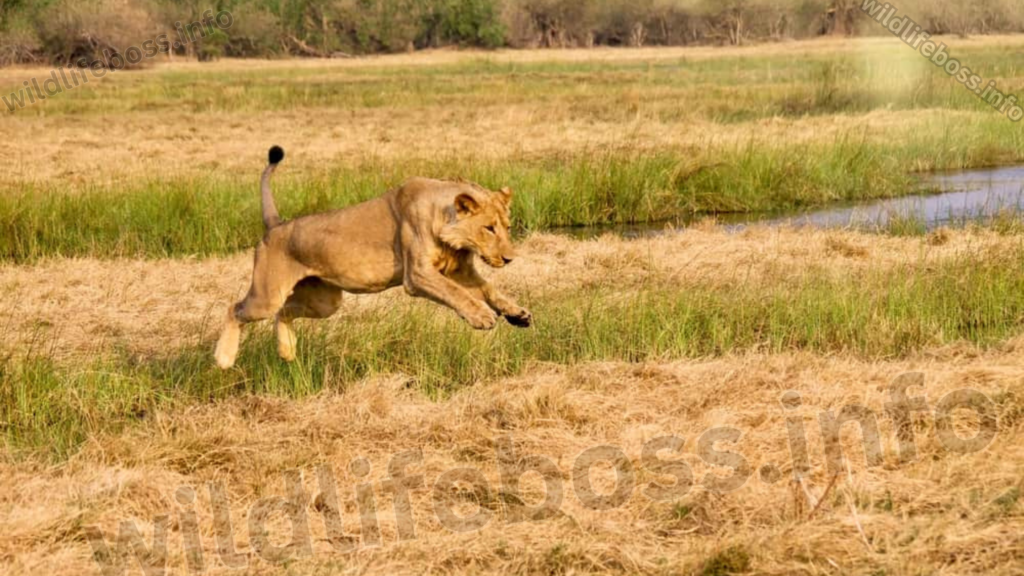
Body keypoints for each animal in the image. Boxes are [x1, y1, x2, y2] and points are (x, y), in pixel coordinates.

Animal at [211, 144, 532, 366]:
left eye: (507, 227)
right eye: (488, 228)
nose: (509, 259)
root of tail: (276, 225)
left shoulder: (459, 270)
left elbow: (488, 288)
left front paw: (517, 313)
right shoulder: (417, 275)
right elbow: (456, 293)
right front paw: (481, 317)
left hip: (325, 302)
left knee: (283, 312)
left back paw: (287, 351)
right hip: (267, 294)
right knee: (235, 309)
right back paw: (224, 359)